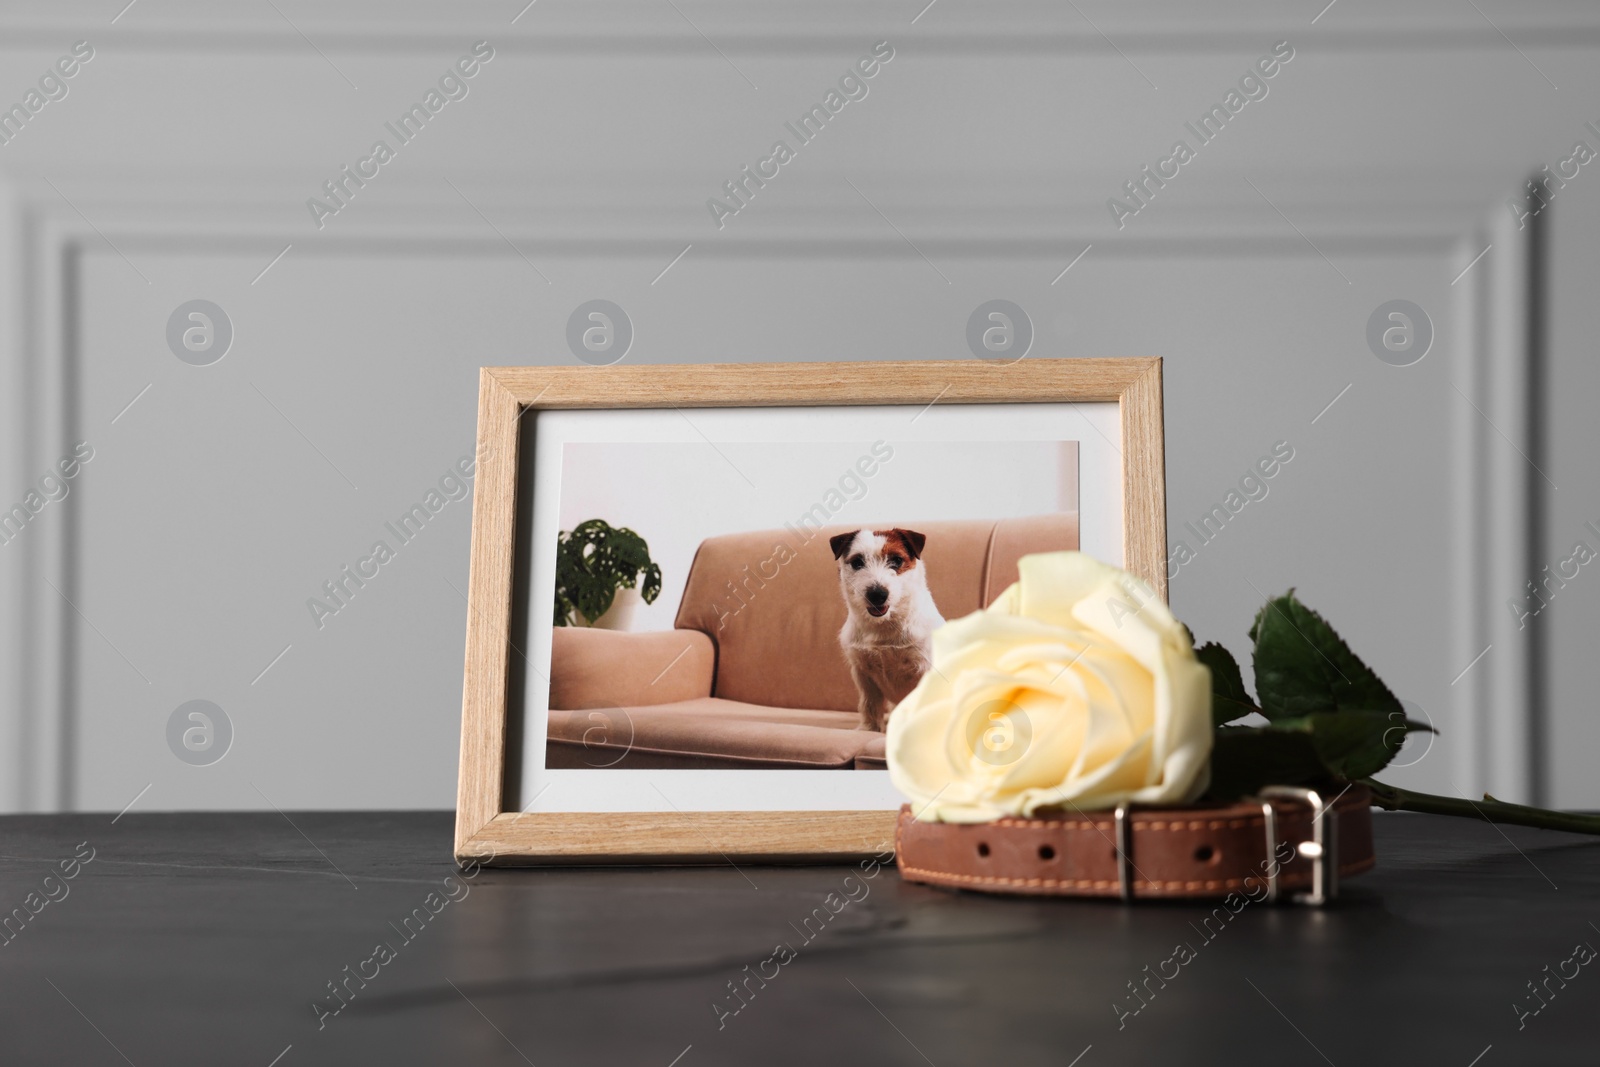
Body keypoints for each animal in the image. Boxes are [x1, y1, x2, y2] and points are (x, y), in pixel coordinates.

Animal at [832, 527, 940, 735]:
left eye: (896, 560)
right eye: (857, 562)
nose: (877, 594)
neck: (885, 626)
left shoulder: (924, 667)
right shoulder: (863, 673)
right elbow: (869, 704)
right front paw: (869, 729)